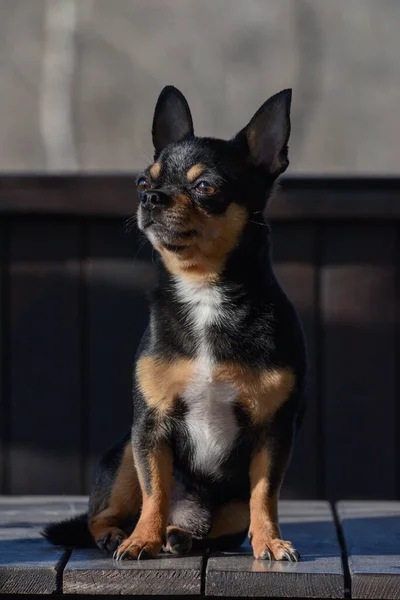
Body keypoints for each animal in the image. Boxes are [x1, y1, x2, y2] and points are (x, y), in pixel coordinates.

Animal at [43, 85, 306, 564]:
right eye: (142, 183)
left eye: (206, 187)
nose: (150, 198)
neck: (204, 292)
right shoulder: (151, 428)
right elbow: (156, 490)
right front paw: (141, 539)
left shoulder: (274, 433)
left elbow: (265, 495)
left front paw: (270, 541)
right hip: (125, 455)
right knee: (104, 514)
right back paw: (124, 534)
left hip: (226, 506)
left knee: (219, 526)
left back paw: (181, 536)